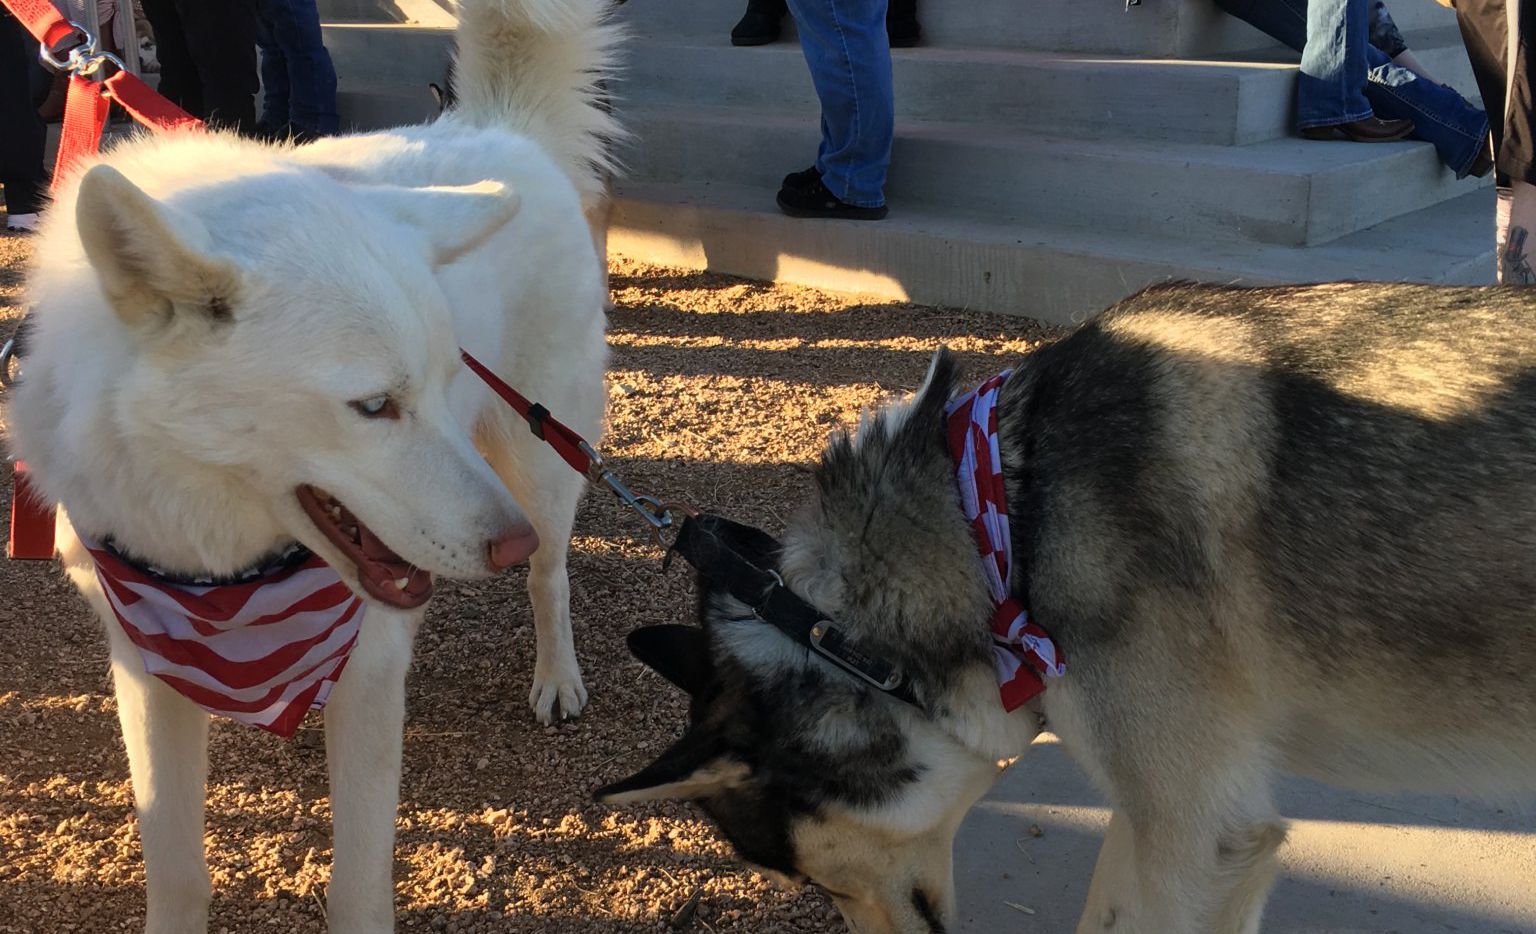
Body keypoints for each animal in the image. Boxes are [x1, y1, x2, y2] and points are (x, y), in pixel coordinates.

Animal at [7, 0, 617, 927]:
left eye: (444, 379)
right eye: (374, 406)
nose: (503, 543)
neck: (219, 560)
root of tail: (498, 128)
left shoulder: (371, 672)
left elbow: (357, 881)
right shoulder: (147, 672)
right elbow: (174, 864)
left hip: (539, 460)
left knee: (552, 578)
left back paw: (557, 677)